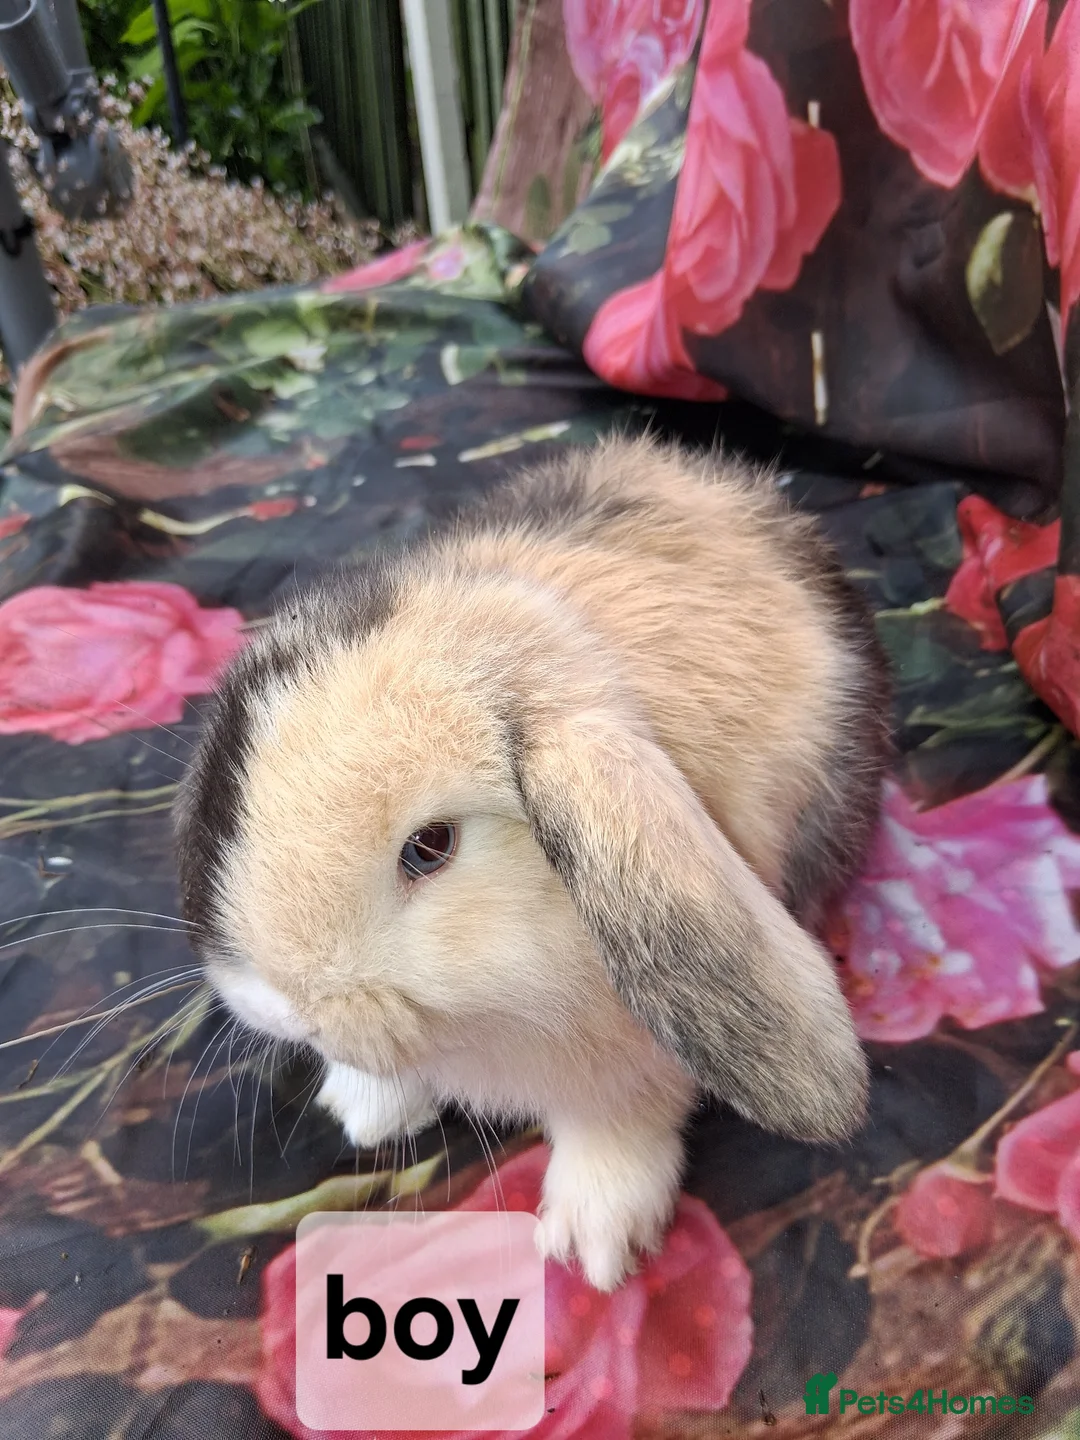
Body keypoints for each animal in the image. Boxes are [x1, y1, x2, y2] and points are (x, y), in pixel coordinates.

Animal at [174, 435, 891, 1291]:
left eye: (430, 847)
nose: (283, 1011)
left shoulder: (633, 1061)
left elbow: (616, 1125)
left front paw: (593, 1239)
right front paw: (363, 1110)